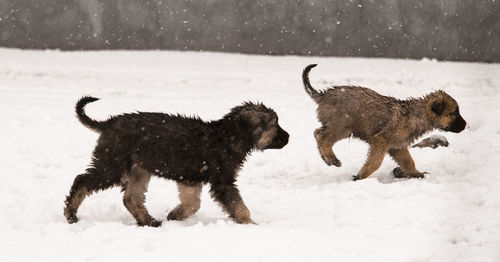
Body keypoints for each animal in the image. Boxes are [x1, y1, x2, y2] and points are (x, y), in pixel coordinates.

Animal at [64, 97, 290, 226]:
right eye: (274, 124)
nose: (288, 137)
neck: (229, 136)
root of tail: (108, 123)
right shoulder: (222, 181)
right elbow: (239, 206)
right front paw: (251, 224)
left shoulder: (189, 178)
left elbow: (192, 204)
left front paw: (174, 216)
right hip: (114, 165)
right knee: (81, 180)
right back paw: (71, 214)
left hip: (139, 170)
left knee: (131, 198)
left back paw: (150, 222)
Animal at [300, 64, 468, 181]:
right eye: (453, 113)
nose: (465, 125)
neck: (417, 115)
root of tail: (323, 95)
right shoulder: (381, 140)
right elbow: (375, 162)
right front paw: (360, 176)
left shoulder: (398, 147)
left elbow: (409, 162)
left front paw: (417, 174)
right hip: (343, 126)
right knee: (322, 137)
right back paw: (332, 159)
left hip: (339, 127)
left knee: (318, 133)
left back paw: (326, 158)